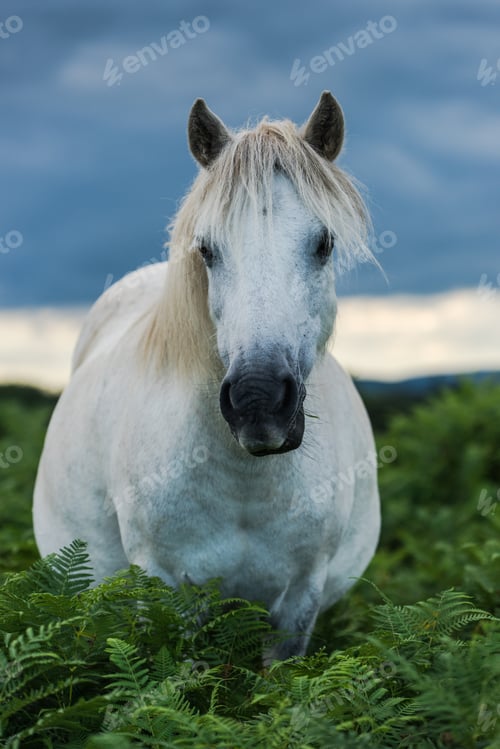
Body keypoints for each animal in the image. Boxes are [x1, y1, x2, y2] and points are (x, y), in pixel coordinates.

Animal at [33, 91, 381, 662]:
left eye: (324, 243)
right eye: (207, 249)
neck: (245, 484)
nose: (259, 401)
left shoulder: (301, 597)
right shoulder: (165, 590)